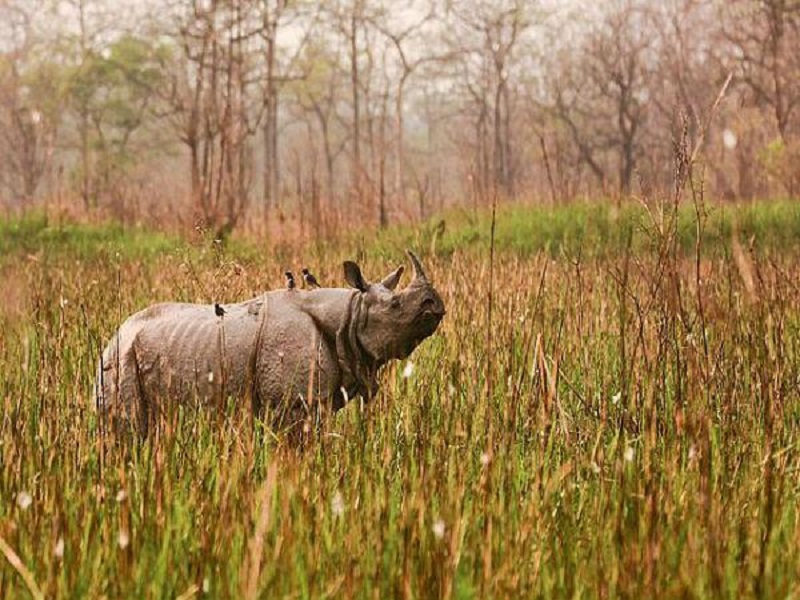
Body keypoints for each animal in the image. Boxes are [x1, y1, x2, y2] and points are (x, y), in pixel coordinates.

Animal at [97, 250, 446, 432]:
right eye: (396, 305)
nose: (437, 305)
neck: (350, 314)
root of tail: (113, 336)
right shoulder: (293, 403)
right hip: (119, 361)